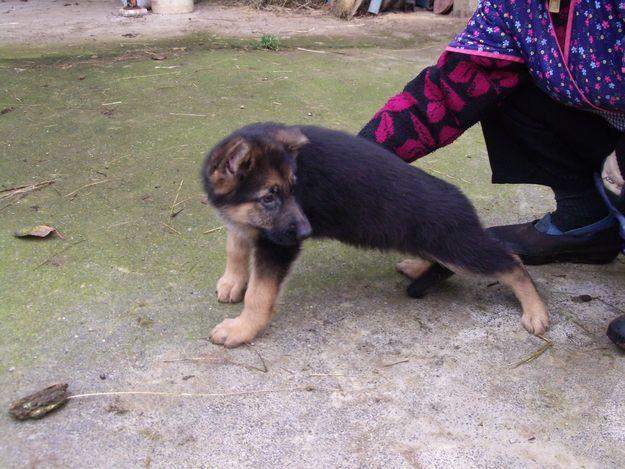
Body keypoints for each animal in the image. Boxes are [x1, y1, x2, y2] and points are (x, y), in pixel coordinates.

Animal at [200, 122, 544, 346]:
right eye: (269, 197)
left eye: (293, 190)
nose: (308, 231)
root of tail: (463, 201)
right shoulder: (254, 224)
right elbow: (236, 245)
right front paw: (232, 281)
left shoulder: (278, 244)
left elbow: (260, 294)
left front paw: (241, 329)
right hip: (433, 241)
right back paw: (416, 267)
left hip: (458, 248)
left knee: (511, 262)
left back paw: (535, 310)